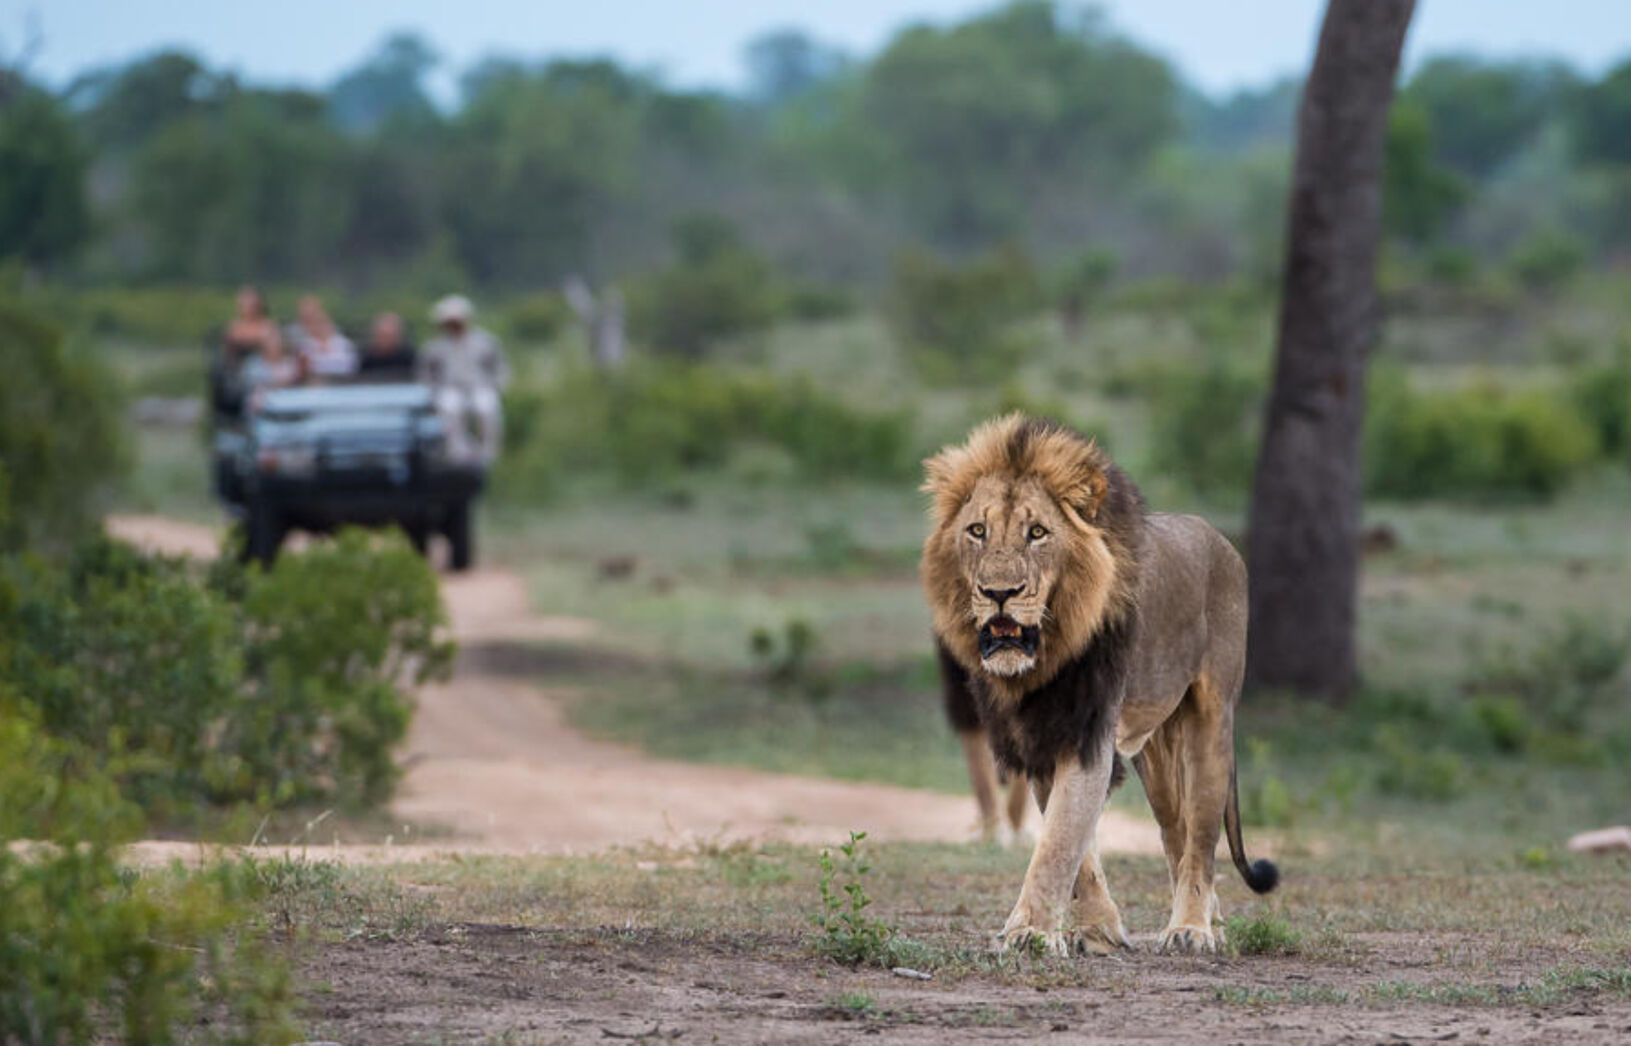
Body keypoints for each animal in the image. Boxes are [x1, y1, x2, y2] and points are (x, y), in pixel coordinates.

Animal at [921, 414, 1278, 956]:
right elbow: (1075, 845)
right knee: (1175, 833)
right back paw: (1209, 922)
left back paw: (1190, 929)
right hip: (1155, 751)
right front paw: (1098, 930)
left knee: (1200, 837)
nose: (999, 593)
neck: (1047, 656)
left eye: (1038, 533)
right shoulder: (1044, 735)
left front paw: (1029, 933)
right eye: (977, 531)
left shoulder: (1088, 730)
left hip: (1211, 723)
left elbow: (1059, 840)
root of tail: (1222, 541)